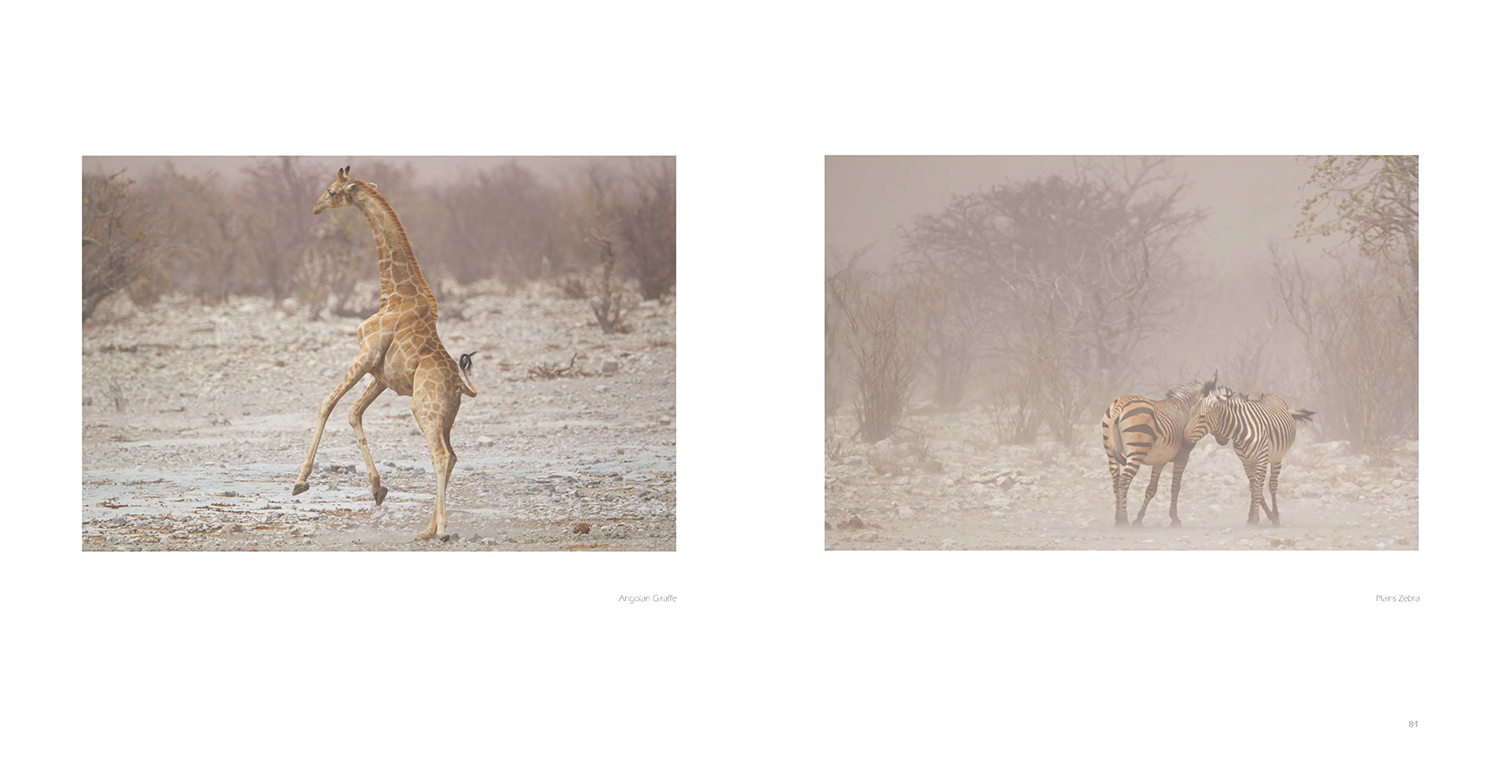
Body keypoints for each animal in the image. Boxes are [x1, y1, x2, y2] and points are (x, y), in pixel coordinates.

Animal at [289, 167, 477, 539]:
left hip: (424, 407)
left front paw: (300, 481)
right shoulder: (382, 375)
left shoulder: (365, 354)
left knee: (440, 455)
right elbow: (353, 413)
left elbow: (327, 404)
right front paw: (378, 488)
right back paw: (426, 528)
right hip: (446, 416)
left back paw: (442, 528)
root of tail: (460, 385)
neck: (393, 292)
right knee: (452, 455)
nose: (315, 207)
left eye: (332, 191)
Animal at [1104, 374, 1218, 527]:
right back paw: (1124, 521)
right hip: (1136, 450)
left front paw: (1139, 518)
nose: (1222, 437)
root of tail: (1120, 403)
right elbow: (1175, 487)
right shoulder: (1183, 456)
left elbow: (1151, 489)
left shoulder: (1159, 460)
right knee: (1124, 480)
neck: (1188, 408)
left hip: (1110, 451)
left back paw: (1117, 519)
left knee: (1116, 480)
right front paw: (1175, 519)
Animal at [1182, 389, 1314, 524]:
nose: (1184, 441)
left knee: (1272, 485)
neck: (1240, 432)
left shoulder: (1261, 459)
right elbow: (1253, 487)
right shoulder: (1246, 462)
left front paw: (1258, 518)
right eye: (1190, 413)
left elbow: (1258, 488)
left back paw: (1276, 516)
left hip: (1277, 457)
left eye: (1202, 417)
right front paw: (1251, 517)